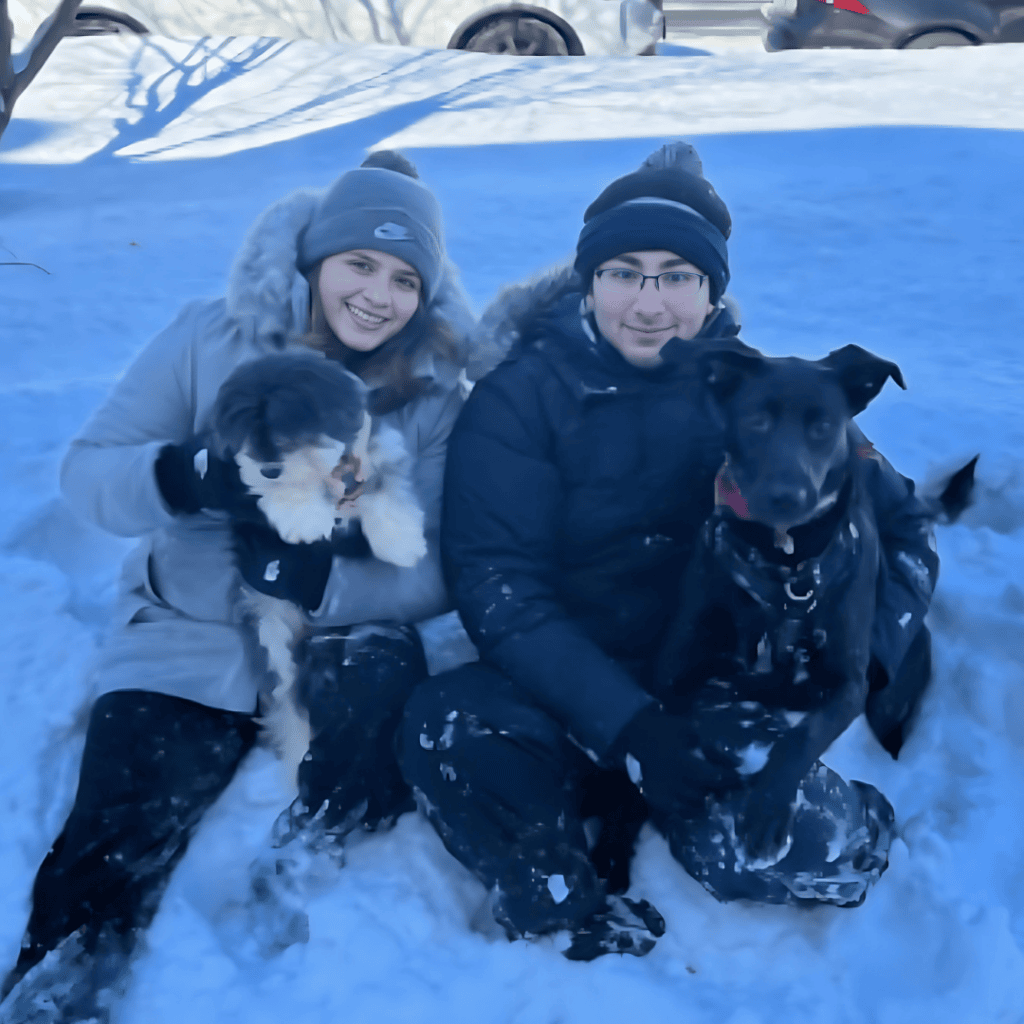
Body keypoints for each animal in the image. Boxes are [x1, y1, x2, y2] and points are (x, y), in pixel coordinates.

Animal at [211, 352, 428, 774]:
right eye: (243, 426)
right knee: (288, 699)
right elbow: (280, 493)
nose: (269, 467)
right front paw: (302, 517)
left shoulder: (377, 451)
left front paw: (401, 540)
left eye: (290, 420)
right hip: (272, 634)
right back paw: (297, 755)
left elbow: (384, 487)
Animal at [655, 344, 974, 864]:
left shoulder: (849, 682)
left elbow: (805, 733)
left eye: (823, 426)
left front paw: (767, 809)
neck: (785, 562)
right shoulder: (674, 663)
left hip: (889, 695)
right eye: (757, 421)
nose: (789, 495)